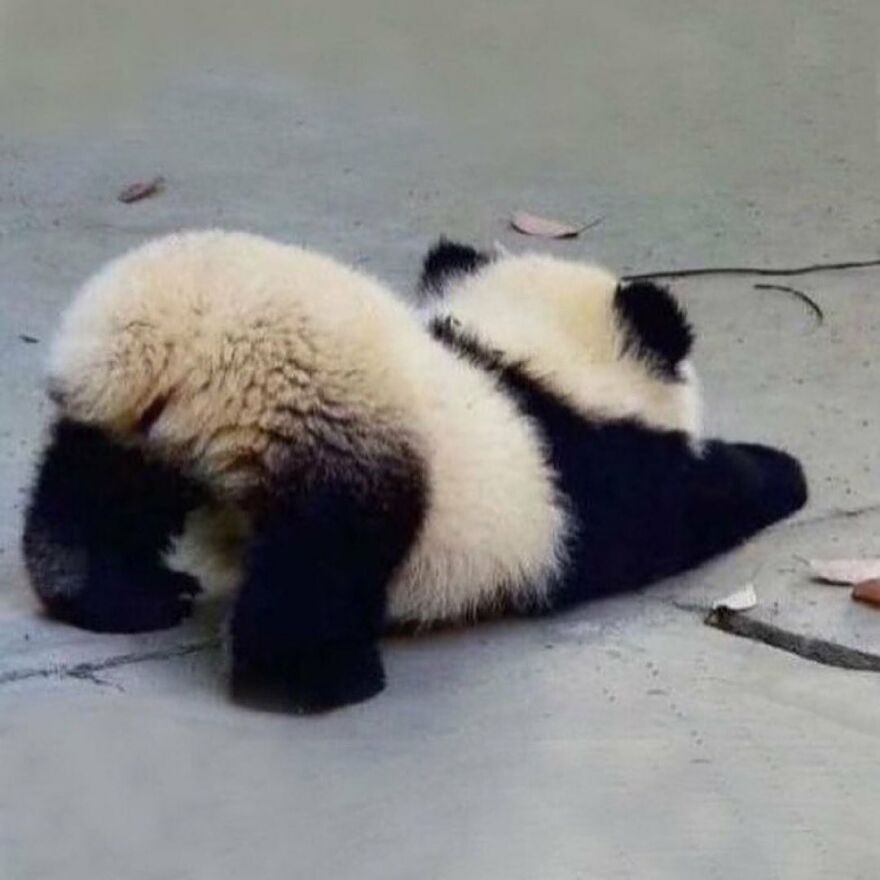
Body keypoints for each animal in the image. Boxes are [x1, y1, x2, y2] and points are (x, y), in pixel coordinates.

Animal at [22, 230, 807, 711]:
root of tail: (168, 357)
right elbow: (681, 509)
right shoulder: (598, 473)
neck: (527, 354)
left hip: (131, 432)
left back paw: (118, 593)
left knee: (91, 494)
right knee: (323, 562)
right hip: (333, 435)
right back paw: (317, 678)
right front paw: (781, 472)